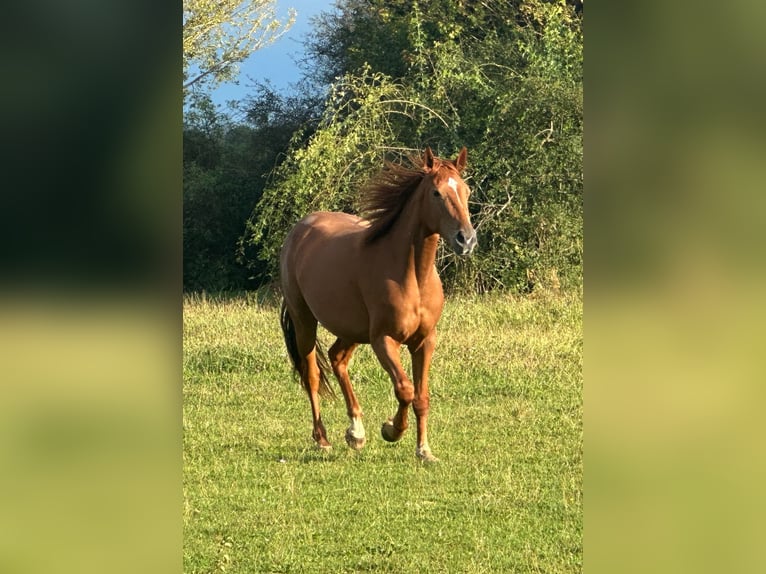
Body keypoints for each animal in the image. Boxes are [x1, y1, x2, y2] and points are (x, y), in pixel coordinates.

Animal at [280, 148, 476, 464]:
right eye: (436, 193)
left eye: (466, 191)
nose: (466, 239)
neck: (412, 276)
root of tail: (300, 229)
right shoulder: (384, 340)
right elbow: (405, 390)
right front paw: (391, 430)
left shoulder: (425, 341)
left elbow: (422, 397)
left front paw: (424, 450)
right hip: (304, 321)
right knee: (312, 375)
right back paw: (322, 439)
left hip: (352, 329)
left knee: (337, 359)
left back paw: (356, 433)